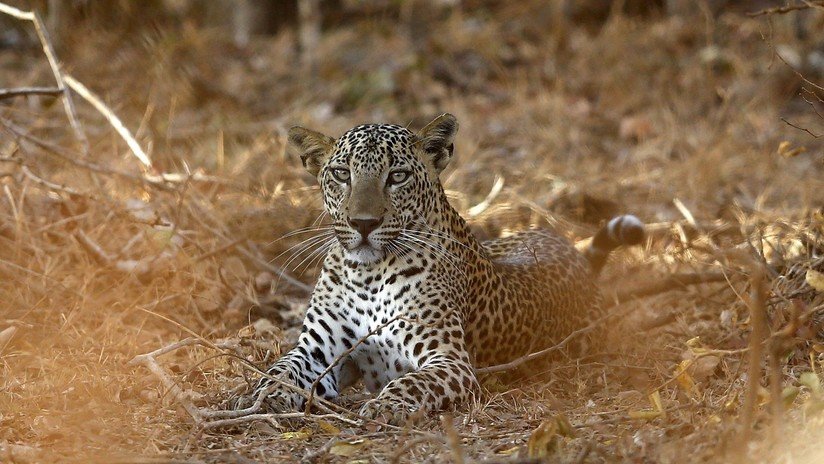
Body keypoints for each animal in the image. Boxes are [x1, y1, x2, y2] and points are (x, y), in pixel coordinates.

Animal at [232, 113, 645, 424]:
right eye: (341, 174)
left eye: (397, 176)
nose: (363, 223)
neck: (367, 276)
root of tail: (572, 252)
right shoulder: (317, 350)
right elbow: (281, 368)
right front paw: (262, 394)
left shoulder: (449, 361)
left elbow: (411, 383)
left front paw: (386, 405)